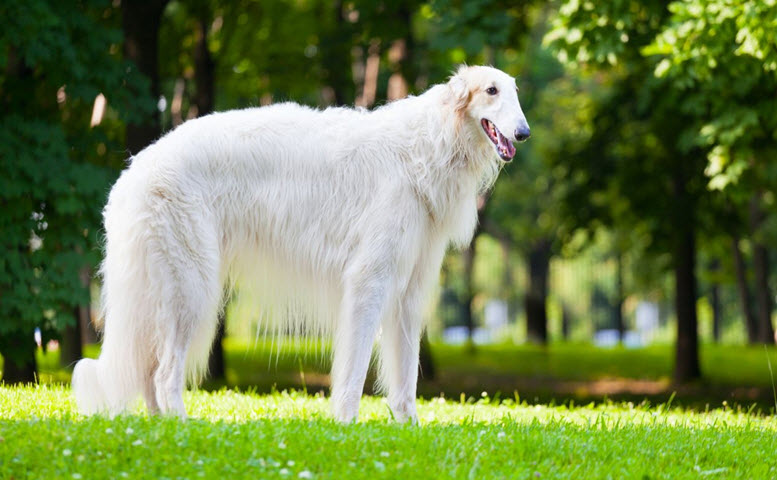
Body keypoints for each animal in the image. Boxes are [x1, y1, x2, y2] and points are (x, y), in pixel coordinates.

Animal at [73, 65, 528, 422]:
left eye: (515, 91)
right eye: (491, 90)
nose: (523, 133)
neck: (425, 147)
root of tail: (134, 172)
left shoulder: (409, 292)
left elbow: (405, 384)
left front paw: (409, 433)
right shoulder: (369, 280)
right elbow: (354, 372)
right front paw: (346, 426)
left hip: (162, 292)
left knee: (148, 374)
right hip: (191, 288)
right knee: (164, 374)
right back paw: (184, 426)